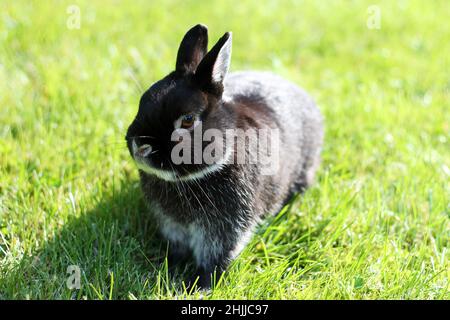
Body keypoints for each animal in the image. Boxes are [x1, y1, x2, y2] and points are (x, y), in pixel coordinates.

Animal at [125, 24, 324, 290]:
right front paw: (169, 267)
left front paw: (200, 285)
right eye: (142, 101)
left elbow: (216, 257)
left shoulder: (225, 229)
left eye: (187, 120)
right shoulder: (172, 225)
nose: (139, 146)